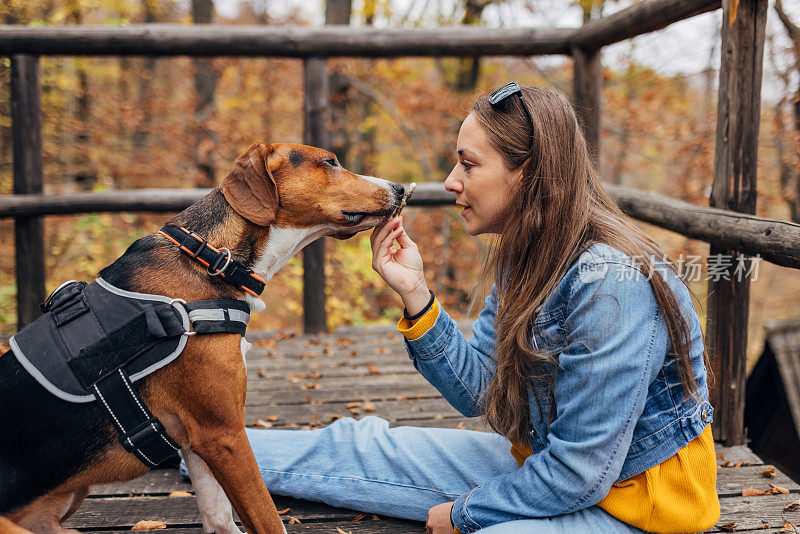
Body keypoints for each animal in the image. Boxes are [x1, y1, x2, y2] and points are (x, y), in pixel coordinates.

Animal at [0, 143, 406, 534]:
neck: (210, 258)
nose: (401, 188)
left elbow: (219, 516)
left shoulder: (196, 439)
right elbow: (267, 518)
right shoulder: (223, 434)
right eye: (330, 162)